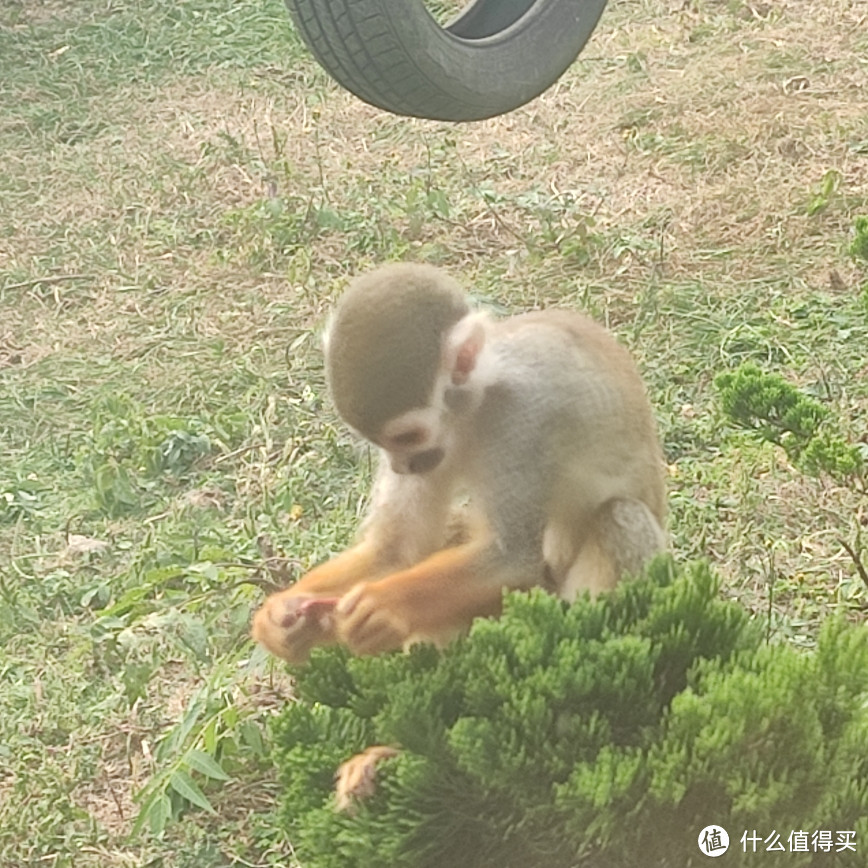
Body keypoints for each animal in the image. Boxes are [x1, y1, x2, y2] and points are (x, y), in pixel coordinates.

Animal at [251, 262, 664, 660]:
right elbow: (396, 547)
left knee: (618, 517)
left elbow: (512, 554)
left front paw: (385, 607)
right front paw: (282, 614)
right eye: (379, 442)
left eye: (408, 436)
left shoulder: (522, 418)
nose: (401, 466)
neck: (471, 409)